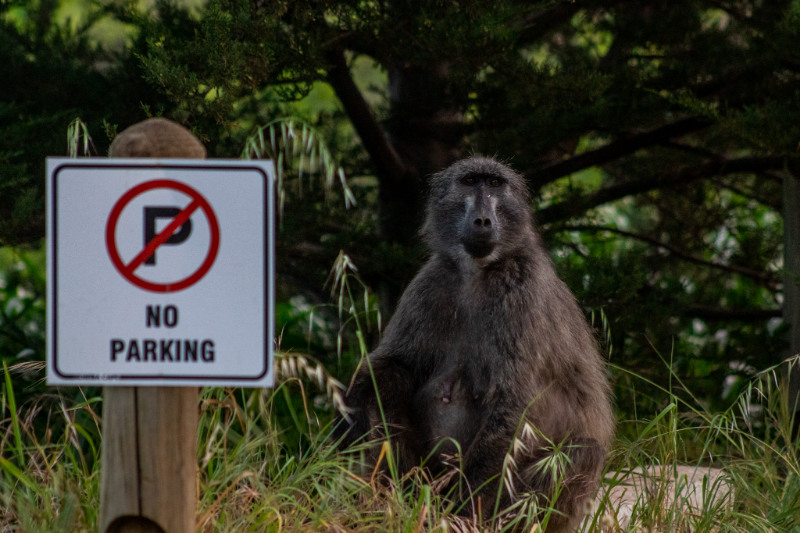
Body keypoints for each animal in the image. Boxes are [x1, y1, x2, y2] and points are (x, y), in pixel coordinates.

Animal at [337, 157, 614, 532]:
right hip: (425, 476)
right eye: (470, 182)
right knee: (392, 387)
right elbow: (394, 365)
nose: (483, 220)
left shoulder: (521, 292)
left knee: (581, 452)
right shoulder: (431, 282)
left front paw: (461, 513)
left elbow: (511, 403)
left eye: (495, 185)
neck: (477, 273)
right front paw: (350, 408)